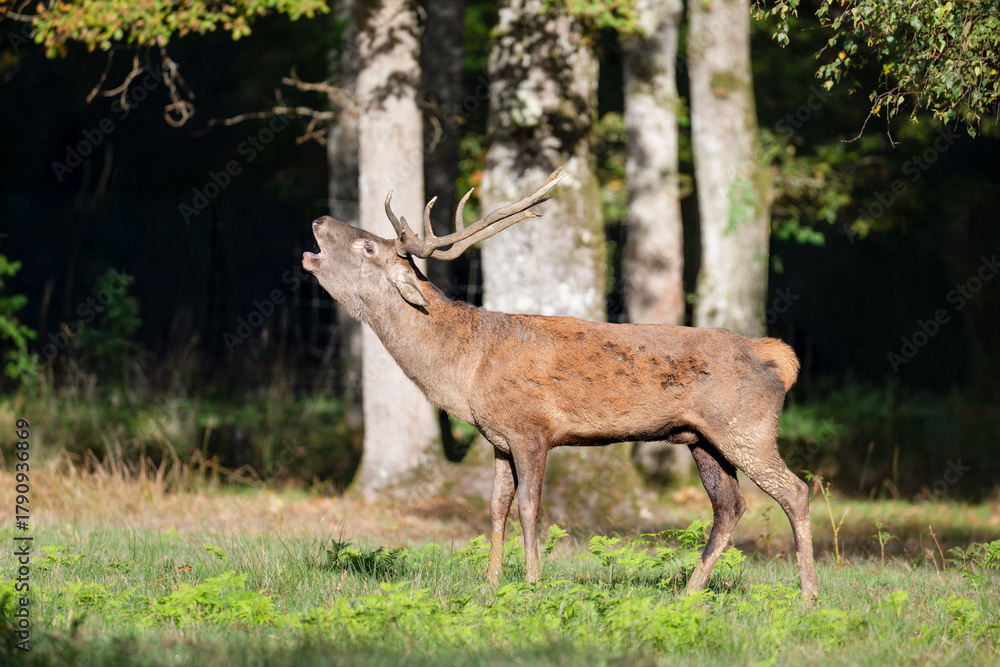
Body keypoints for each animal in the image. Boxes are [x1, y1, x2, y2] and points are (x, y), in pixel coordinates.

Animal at [302, 168, 819, 598]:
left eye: (368, 247)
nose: (320, 219)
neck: (465, 369)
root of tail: (777, 357)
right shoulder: (498, 438)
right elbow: (496, 506)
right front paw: (490, 582)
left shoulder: (532, 429)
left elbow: (530, 506)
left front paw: (532, 583)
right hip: (701, 438)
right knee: (729, 505)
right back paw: (691, 591)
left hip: (745, 427)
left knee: (794, 490)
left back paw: (808, 594)